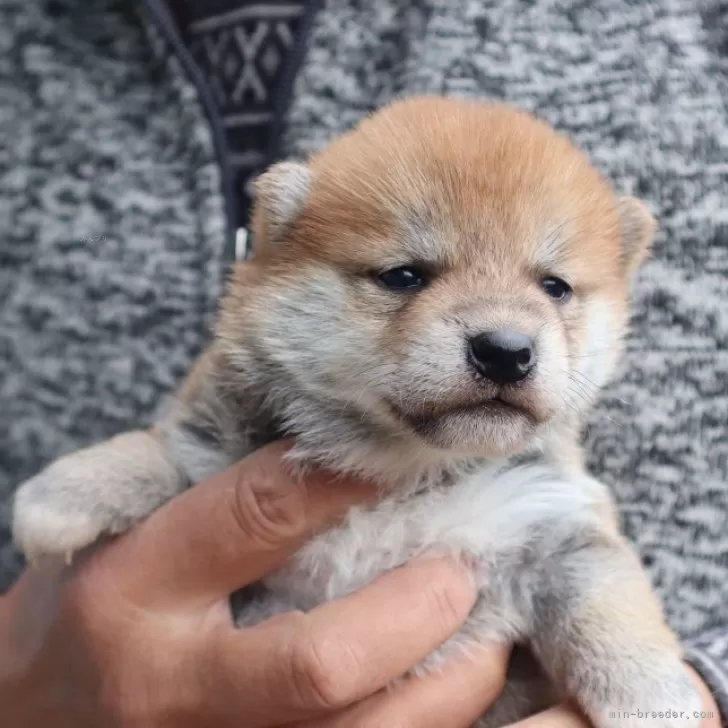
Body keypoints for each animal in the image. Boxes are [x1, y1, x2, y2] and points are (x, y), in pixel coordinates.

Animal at [11, 96, 700, 728]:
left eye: (554, 286)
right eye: (404, 276)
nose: (506, 351)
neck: (404, 468)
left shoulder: (552, 519)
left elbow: (608, 608)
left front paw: (655, 698)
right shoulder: (213, 448)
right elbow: (162, 452)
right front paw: (65, 491)